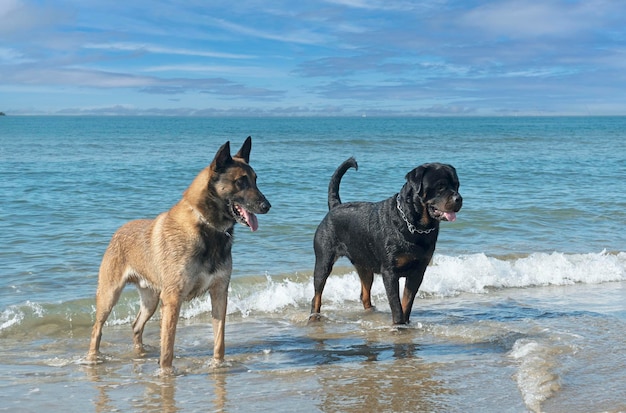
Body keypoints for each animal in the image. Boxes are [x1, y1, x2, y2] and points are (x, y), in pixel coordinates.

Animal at [87, 138, 268, 370]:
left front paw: (218, 366)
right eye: (241, 182)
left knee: (136, 326)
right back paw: (93, 358)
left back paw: (140, 353)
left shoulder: (219, 293)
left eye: (255, 180)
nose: (267, 206)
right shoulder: (173, 299)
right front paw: (166, 373)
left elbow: (219, 341)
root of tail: (118, 232)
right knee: (97, 329)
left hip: (151, 301)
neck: (207, 227)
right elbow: (167, 348)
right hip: (109, 296)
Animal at [308, 158, 458, 326]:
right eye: (440, 186)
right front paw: (399, 324)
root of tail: (335, 206)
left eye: (457, 185)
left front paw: (405, 323)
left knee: (365, 294)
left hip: (364, 265)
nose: (458, 198)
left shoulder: (418, 272)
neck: (415, 226)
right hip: (323, 261)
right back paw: (314, 317)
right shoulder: (390, 273)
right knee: (317, 294)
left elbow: (407, 302)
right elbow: (396, 304)